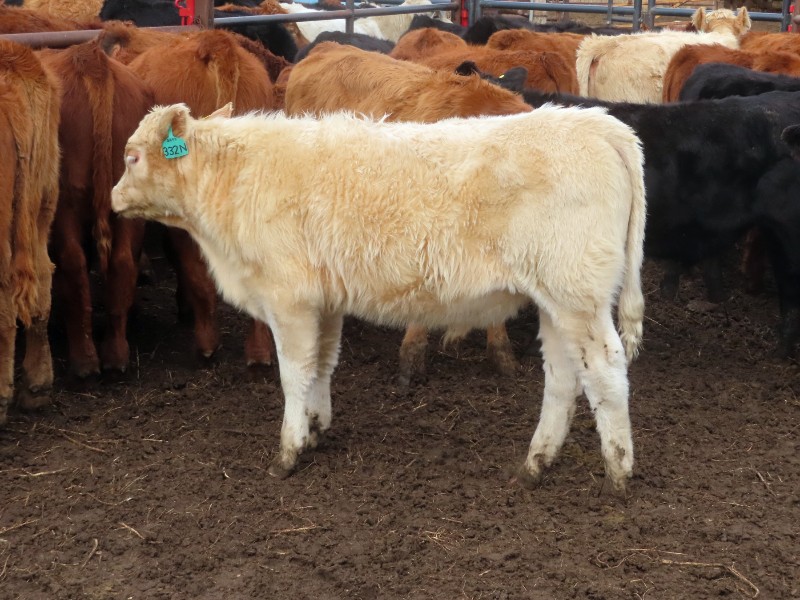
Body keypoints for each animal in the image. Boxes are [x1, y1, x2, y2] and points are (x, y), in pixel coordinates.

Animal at [111, 103, 646, 493]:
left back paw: (618, 472)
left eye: (132, 157)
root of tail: (599, 123)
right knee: (562, 378)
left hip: (578, 297)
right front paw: (316, 427)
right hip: (557, 302)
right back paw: (536, 463)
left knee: (606, 371)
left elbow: (293, 374)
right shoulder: (324, 302)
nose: (113, 198)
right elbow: (321, 366)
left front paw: (288, 450)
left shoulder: (289, 299)